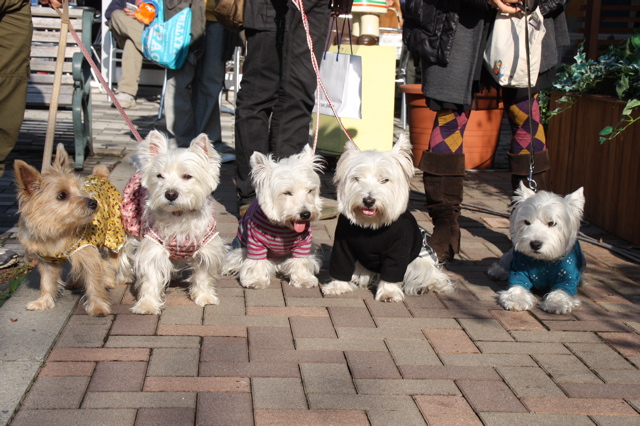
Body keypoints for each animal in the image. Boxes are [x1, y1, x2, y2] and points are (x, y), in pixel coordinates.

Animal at [14, 145, 126, 314]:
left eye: (80, 190)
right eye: (62, 195)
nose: (94, 202)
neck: (59, 230)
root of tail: (100, 176)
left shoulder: (89, 255)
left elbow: (94, 283)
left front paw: (98, 306)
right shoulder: (47, 262)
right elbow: (46, 283)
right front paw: (43, 302)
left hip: (113, 236)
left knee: (112, 261)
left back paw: (108, 280)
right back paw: (75, 282)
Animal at [119, 131, 226, 314]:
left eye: (187, 176)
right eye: (159, 176)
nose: (170, 194)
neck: (179, 215)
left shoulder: (207, 247)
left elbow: (203, 275)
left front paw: (204, 297)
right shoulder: (153, 247)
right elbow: (151, 278)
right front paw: (147, 305)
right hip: (129, 226)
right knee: (123, 253)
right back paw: (124, 276)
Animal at [225, 146, 324, 290]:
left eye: (310, 191)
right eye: (287, 193)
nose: (305, 214)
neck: (282, 227)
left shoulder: (304, 243)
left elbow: (301, 260)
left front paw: (303, 279)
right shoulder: (255, 242)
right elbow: (257, 262)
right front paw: (257, 280)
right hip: (240, 247)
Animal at [322, 135, 452, 302]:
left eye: (385, 180)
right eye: (357, 178)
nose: (368, 200)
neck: (371, 226)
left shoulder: (398, 249)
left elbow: (393, 270)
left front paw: (388, 293)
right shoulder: (342, 244)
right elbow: (341, 265)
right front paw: (337, 286)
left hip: (419, 261)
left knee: (430, 275)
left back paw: (425, 287)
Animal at [490, 181, 584, 314]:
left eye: (552, 223)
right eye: (526, 222)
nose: (535, 244)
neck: (542, 262)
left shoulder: (567, 278)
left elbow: (561, 291)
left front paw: (556, 304)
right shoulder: (519, 272)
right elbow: (517, 287)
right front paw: (516, 300)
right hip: (511, 254)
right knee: (505, 261)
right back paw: (497, 271)